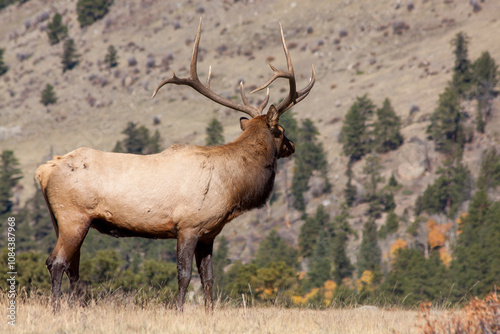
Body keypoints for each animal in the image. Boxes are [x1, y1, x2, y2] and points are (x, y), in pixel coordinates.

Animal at [37, 19, 314, 312]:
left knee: (73, 265)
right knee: (56, 262)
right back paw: (57, 309)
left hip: (62, 220)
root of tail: (44, 171)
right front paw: (179, 310)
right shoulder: (188, 225)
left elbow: (208, 277)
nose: (292, 145)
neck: (232, 188)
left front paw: (209, 311)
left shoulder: (209, 233)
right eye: (281, 131)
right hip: (73, 215)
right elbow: (184, 275)